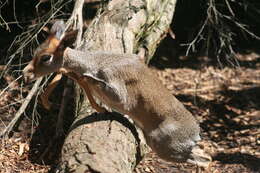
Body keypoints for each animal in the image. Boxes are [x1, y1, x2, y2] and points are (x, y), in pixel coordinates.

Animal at [22, 20, 211, 165]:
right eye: (36, 51)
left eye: (46, 57)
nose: (26, 73)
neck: (98, 62)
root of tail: (196, 134)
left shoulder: (120, 95)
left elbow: (89, 80)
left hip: (164, 147)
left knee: (202, 159)